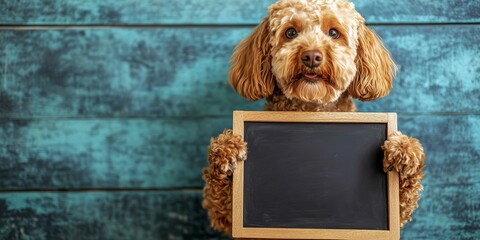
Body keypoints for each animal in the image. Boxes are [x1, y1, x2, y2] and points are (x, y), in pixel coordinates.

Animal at [201, 0, 426, 236]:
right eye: (290, 32)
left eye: (334, 33)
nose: (311, 56)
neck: (310, 106)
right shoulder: (225, 218)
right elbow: (222, 199)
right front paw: (226, 148)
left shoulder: (400, 214)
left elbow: (405, 198)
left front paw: (404, 149)